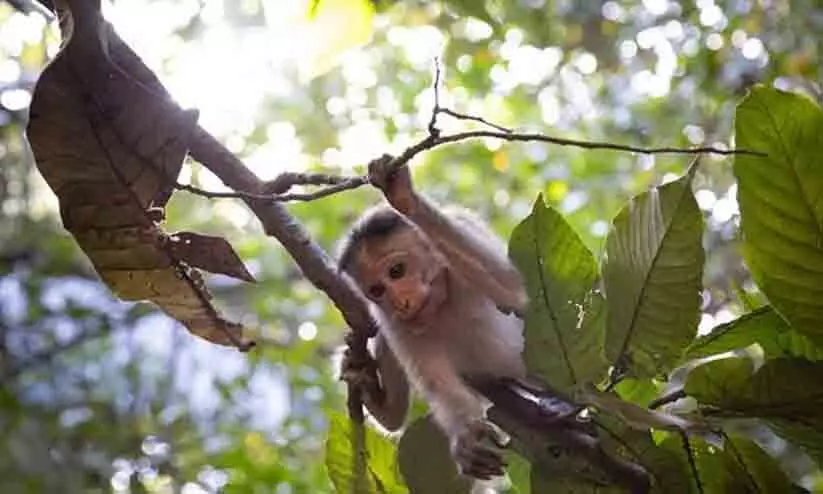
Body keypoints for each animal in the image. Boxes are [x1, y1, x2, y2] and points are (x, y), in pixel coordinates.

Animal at [340, 157, 528, 478]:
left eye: (397, 271)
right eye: (377, 290)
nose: (400, 302)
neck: (443, 299)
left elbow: (516, 292)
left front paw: (405, 198)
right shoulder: (394, 323)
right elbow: (437, 380)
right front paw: (467, 438)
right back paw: (379, 401)